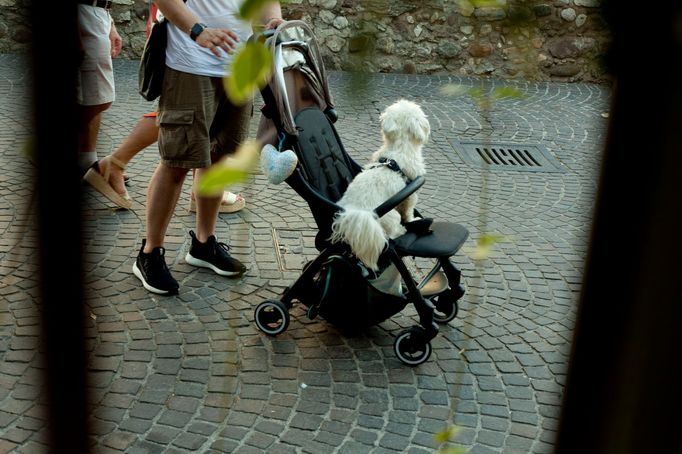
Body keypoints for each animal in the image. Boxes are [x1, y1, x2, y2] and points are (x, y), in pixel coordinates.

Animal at [326, 99, 428, 270]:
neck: (398, 148)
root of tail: (354, 212)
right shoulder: (411, 193)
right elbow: (408, 211)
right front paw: (413, 220)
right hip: (391, 217)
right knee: (391, 233)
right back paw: (401, 230)